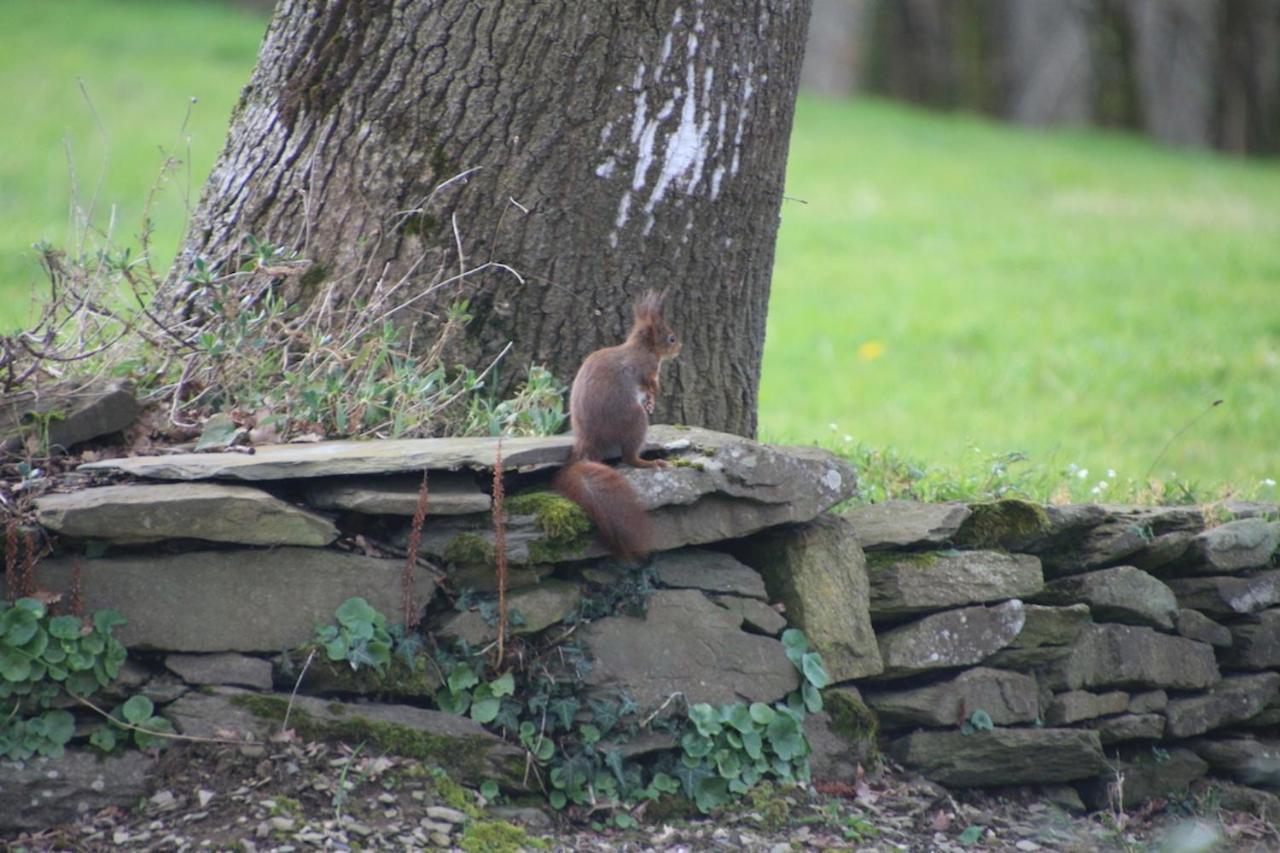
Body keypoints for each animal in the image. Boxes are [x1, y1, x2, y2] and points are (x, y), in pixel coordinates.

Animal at [555, 289, 686, 560]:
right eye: (671, 338)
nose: (680, 348)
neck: (643, 348)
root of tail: (587, 443)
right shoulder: (644, 369)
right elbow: (649, 382)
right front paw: (654, 394)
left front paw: (652, 399)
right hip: (634, 421)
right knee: (628, 458)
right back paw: (650, 462)